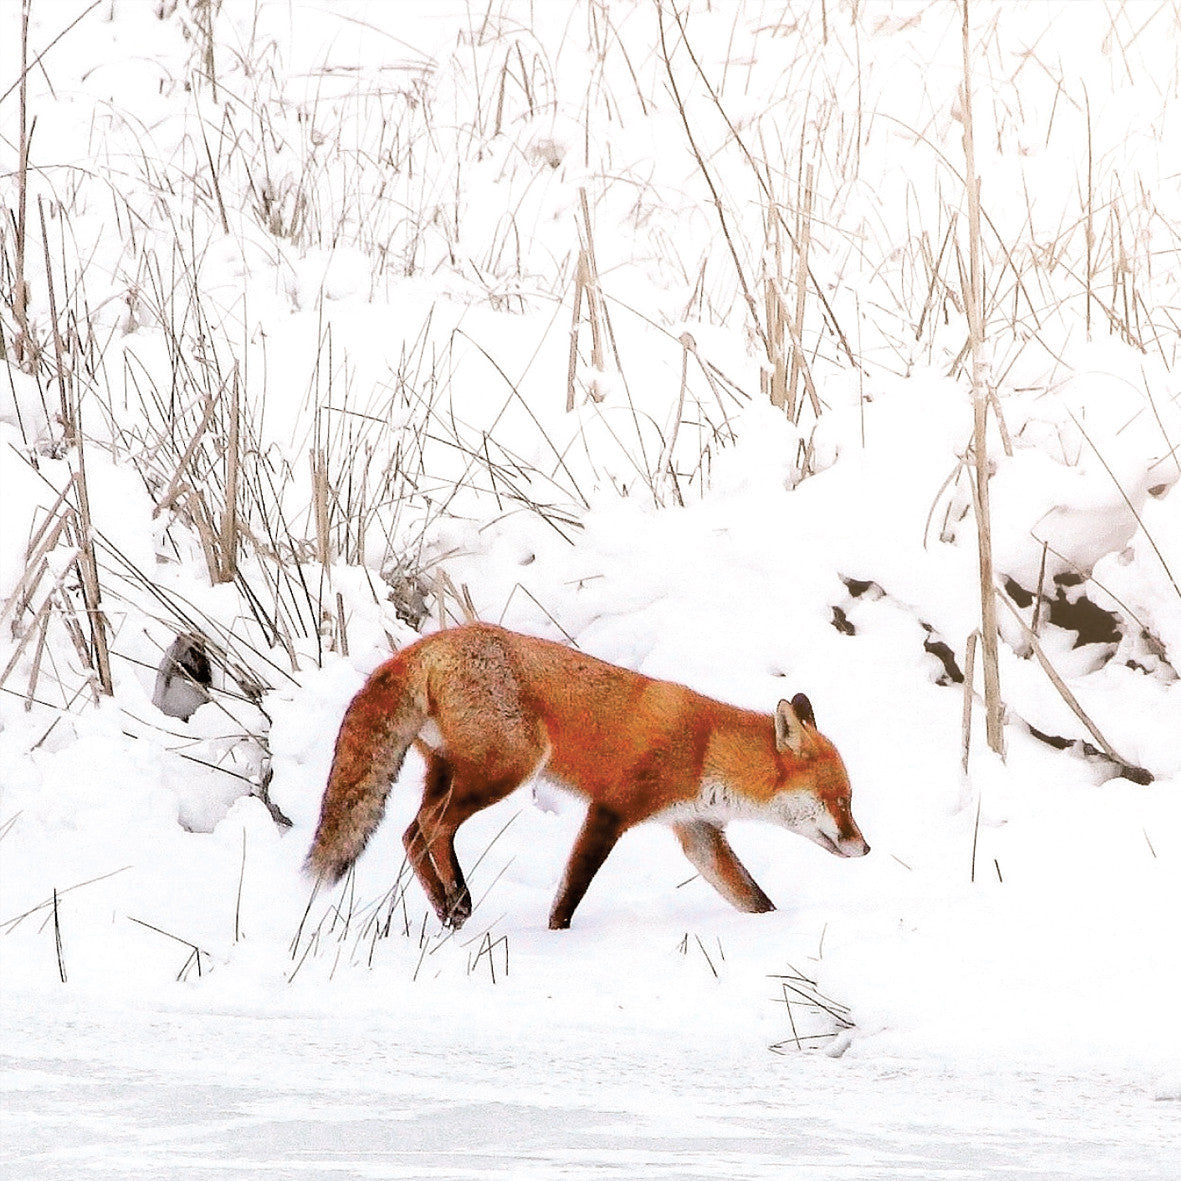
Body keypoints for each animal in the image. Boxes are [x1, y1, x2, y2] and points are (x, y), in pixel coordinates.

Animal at [306, 622, 868, 929]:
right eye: (840, 800)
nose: (864, 848)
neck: (706, 748)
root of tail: (426, 644)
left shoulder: (697, 831)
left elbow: (753, 899)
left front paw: (772, 932)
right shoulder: (611, 809)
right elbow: (571, 889)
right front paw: (558, 935)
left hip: (448, 771)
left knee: (410, 832)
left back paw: (445, 906)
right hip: (505, 770)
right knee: (433, 826)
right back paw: (458, 899)